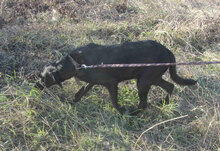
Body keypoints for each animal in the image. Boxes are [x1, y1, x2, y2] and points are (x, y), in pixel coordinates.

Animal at [35, 40, 197, 114]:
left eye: (42, 77)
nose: (35, 86)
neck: (74, 63)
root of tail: (168, 50)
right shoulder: (92, 82)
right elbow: (79, 93)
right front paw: (70, 103)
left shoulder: (111, 83)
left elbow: (114, 102)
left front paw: (122, 111)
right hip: (152, 78)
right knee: (170, 86)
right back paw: (164, 102)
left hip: (143, 81)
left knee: (143, 103)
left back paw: (133, 113)